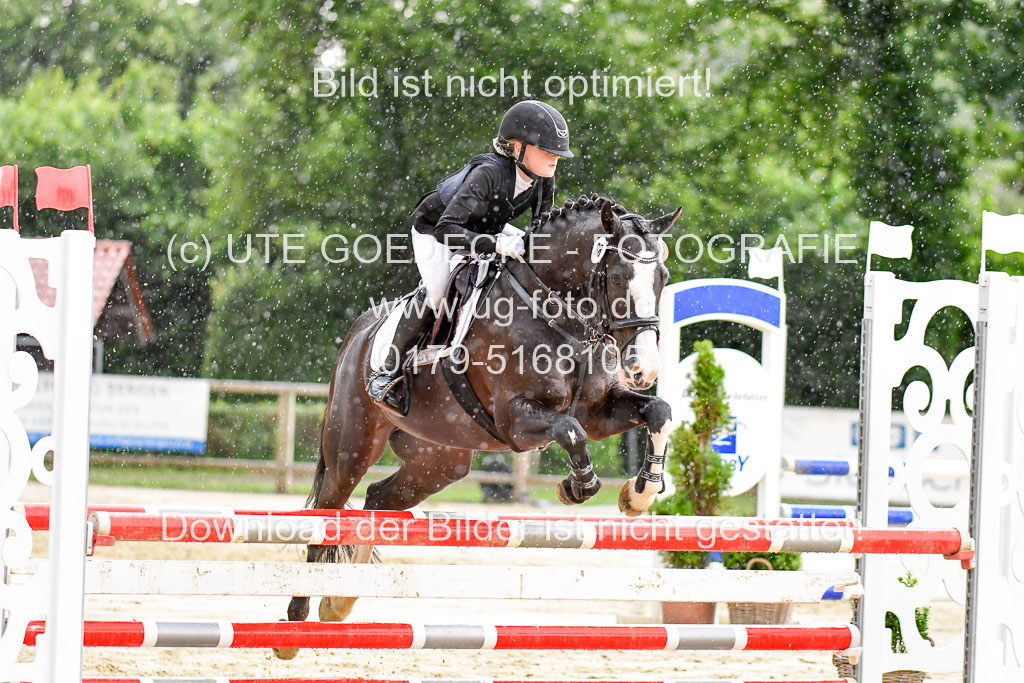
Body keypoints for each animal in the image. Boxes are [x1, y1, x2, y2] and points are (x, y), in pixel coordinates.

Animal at [276, 195, 681, 656]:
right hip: (351, 449)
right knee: (327, 510)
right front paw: (575, 487)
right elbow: (570, 432)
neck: (556, 313)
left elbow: (658, 411)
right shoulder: (516, 418)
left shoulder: (598, 410)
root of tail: (358, 335)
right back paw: (296, 621)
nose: (644, 369)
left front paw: (638, 494)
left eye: (663, 277)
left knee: (378, 498)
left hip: (439, 461)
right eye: (615, 276)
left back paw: (339, 600)